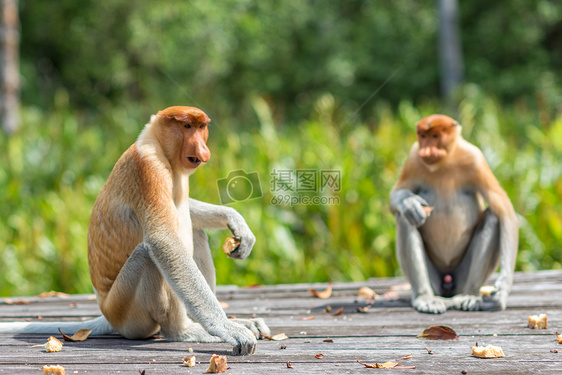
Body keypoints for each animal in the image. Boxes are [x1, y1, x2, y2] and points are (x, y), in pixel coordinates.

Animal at [390, 114, 516, 314]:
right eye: (422, 136)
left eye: (435, 136)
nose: (425, 151)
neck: (445, 162)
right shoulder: (413, 157)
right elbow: (396, 194)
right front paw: (409, 204)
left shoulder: (476, 159)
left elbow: (505, 211)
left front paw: (502, 289)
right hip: (435, 280)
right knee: (405, 219)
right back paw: (426, 298)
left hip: (461, 278)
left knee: (492, 217)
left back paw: (470, 296)